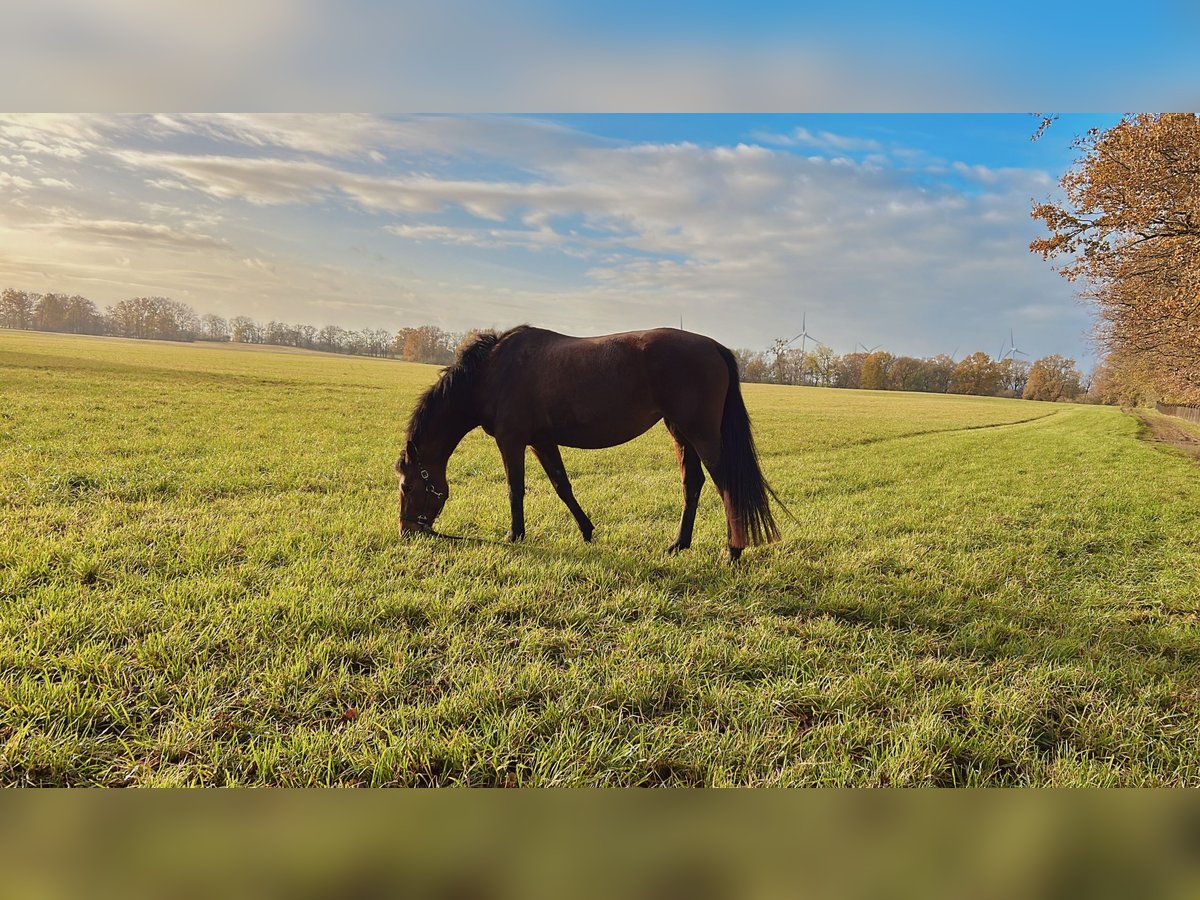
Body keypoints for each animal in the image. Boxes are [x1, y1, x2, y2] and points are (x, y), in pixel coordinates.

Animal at [398, 328, 782, 561]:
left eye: (407, 486)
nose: (407, 531)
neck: (492, 372)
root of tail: (714, 346)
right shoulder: (541, 441)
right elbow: (561, 485)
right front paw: (587, 530)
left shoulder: (512, 441)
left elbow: (515, 489)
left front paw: (515, 535)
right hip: (680, 432)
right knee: (693, 483)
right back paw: (678, 544)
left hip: (700, 433)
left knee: (725, 486)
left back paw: (733, 551)